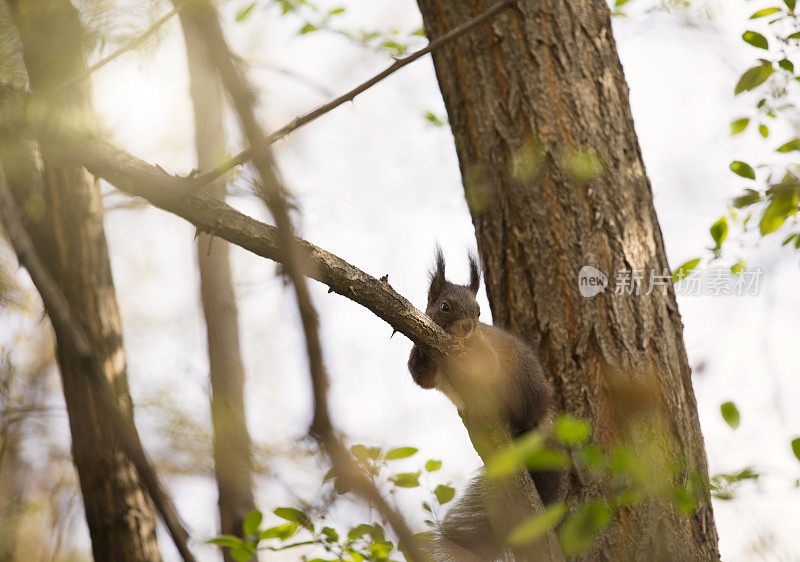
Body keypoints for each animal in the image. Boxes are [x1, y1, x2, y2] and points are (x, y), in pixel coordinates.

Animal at [410, 247, 564, 556]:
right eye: (444, 307)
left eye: (479, 312)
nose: (468, 327)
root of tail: (544, 414)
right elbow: (421, 377)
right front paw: (422, 351)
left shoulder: (487, 350)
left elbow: (488, 366)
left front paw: (467, 352)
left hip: (526, 390)